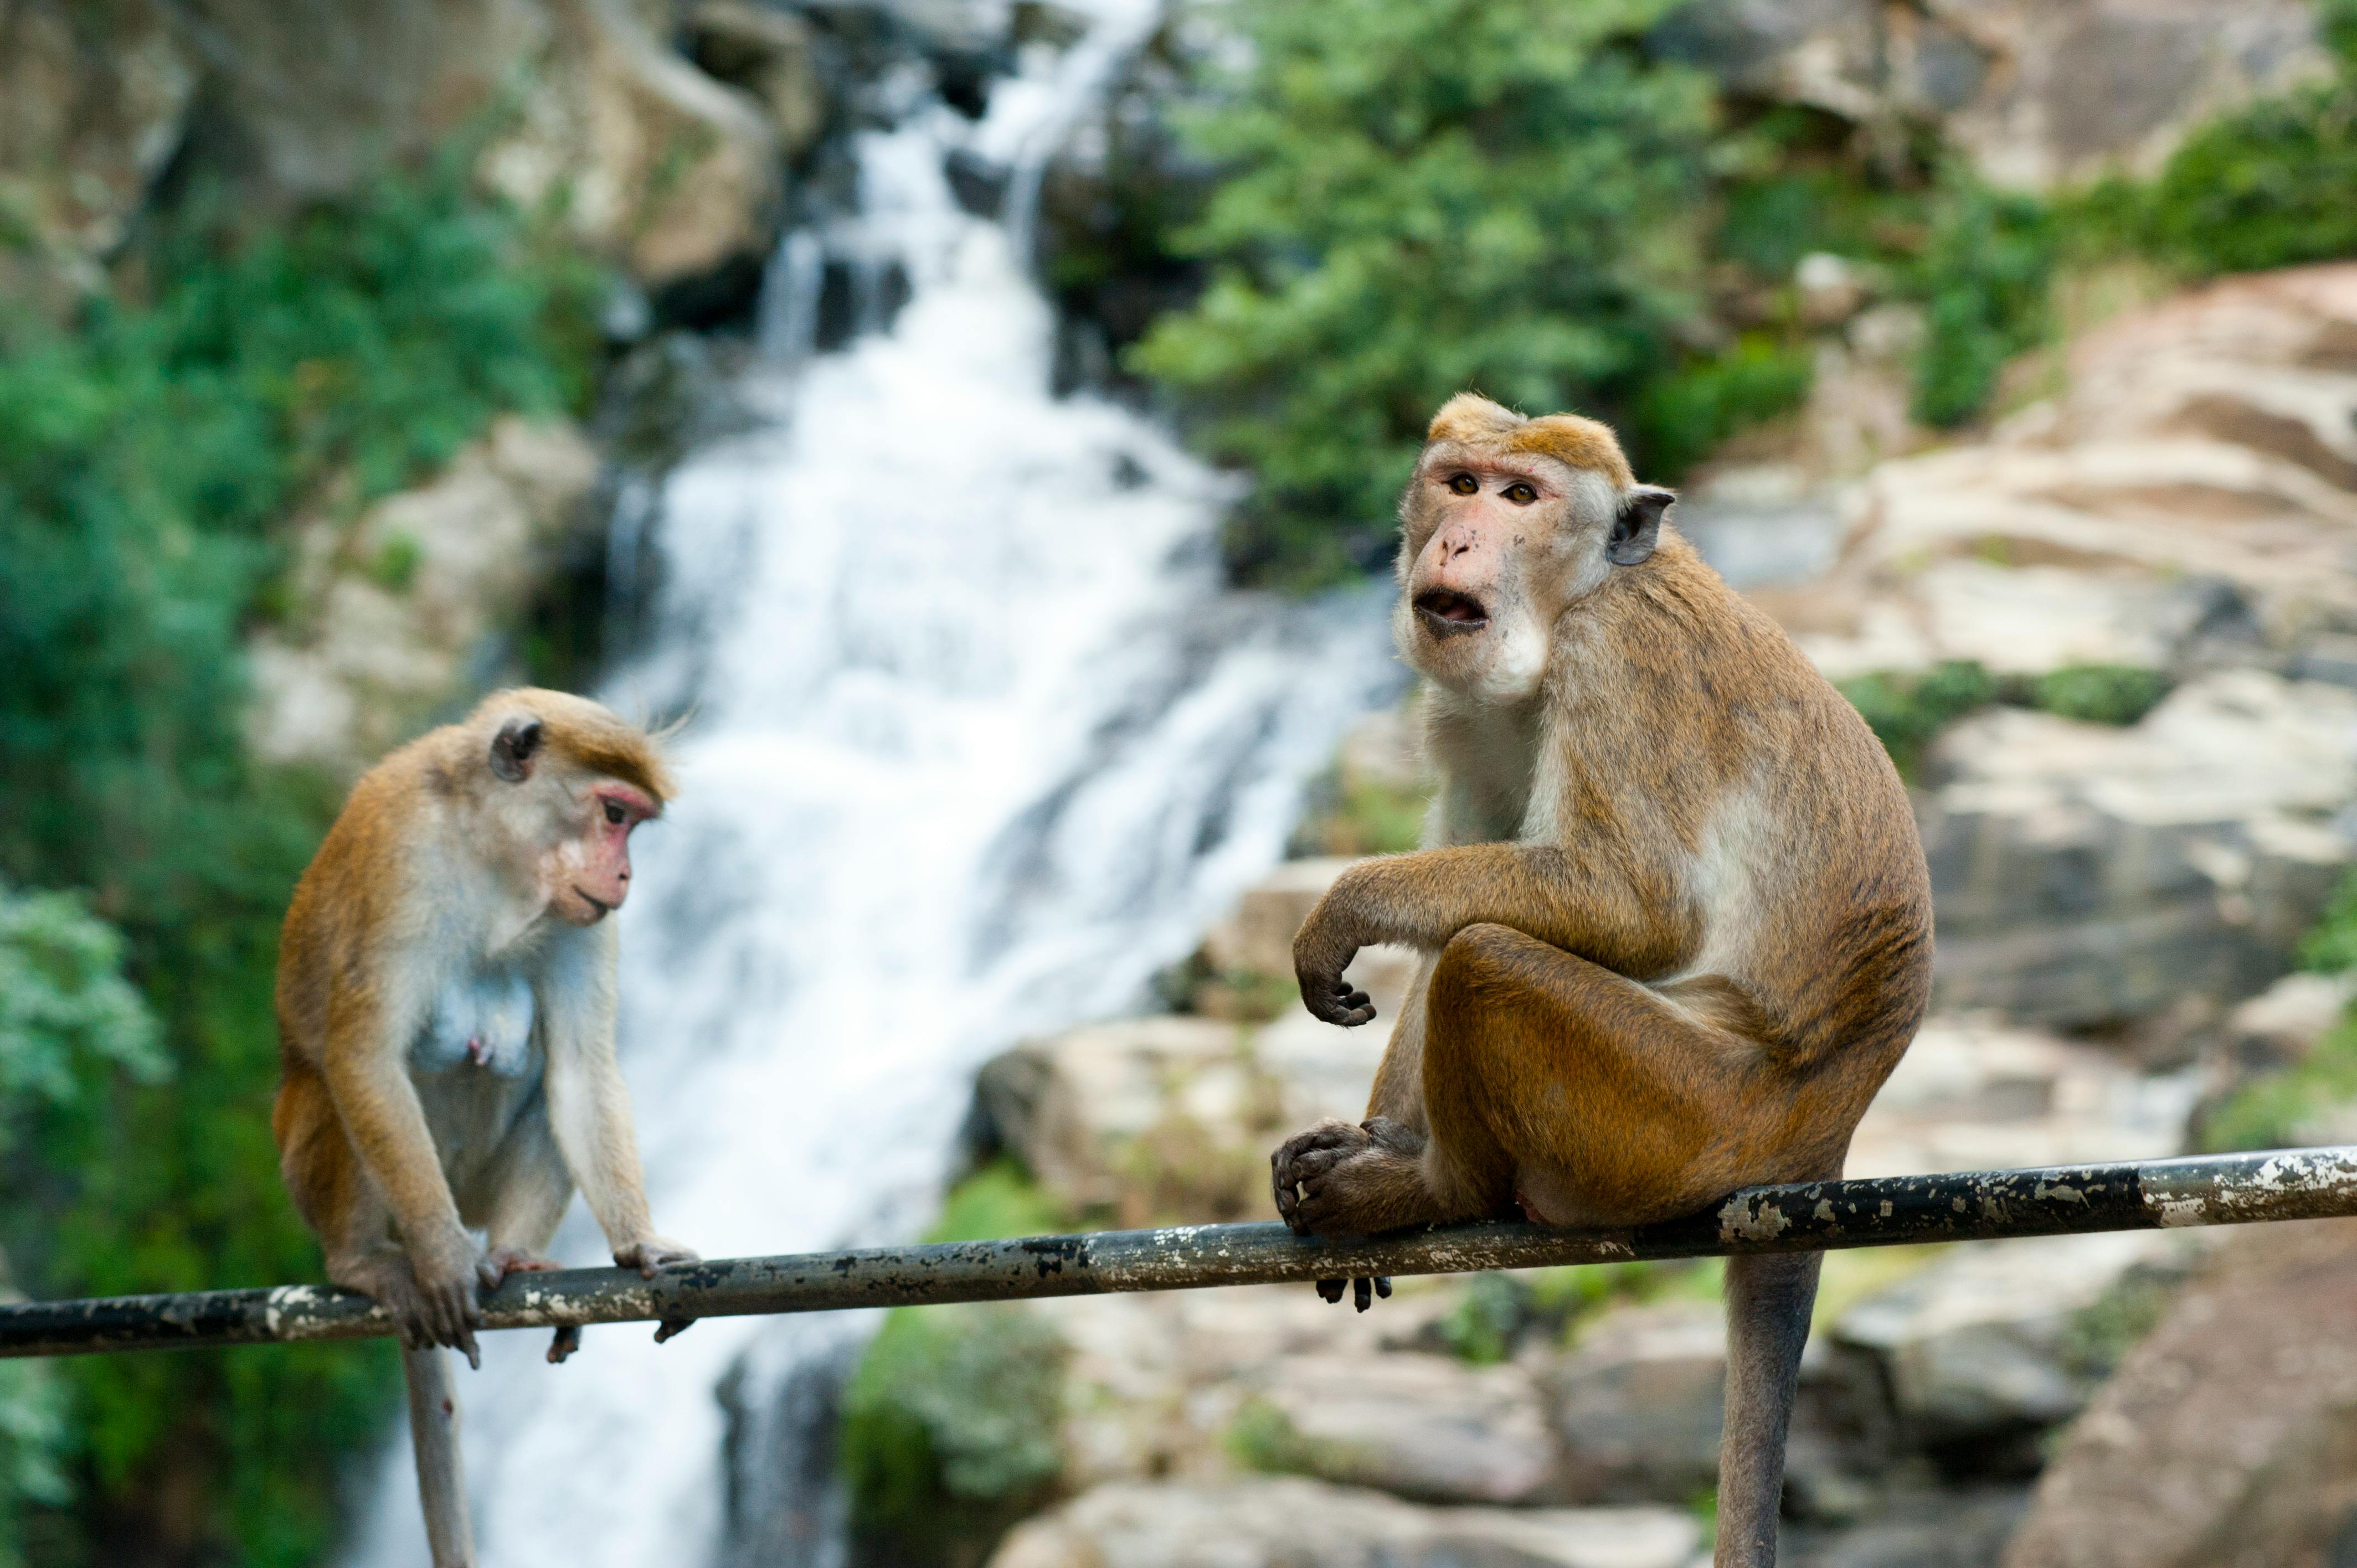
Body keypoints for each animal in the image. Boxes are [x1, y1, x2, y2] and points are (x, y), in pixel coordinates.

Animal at [273, 688, 700, 1568]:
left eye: (632, 827)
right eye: (613, 814)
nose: (626, 875)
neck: (495, 859)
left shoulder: (580, 918)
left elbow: (581, 1074)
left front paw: (642, 1243)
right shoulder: (404, 854)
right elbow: (364, 1054)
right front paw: (442, 1264)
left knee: (546, 1087)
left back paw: (512, 1254)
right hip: (322, 1167)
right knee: (338, 1081)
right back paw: (370, 1260)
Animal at [1268, 395, 1932, 1568]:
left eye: (1520, 497)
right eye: (1460, 482)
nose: (1459, 538)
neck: (1572, 599)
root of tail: (1826, 1134)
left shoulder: (1618, 659)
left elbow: (1632, 902)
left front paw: (1347, 905)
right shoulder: (1469, 711)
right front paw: (1368, 1130)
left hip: (1683, 1118)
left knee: (1490, 962)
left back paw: (1434, 1188)